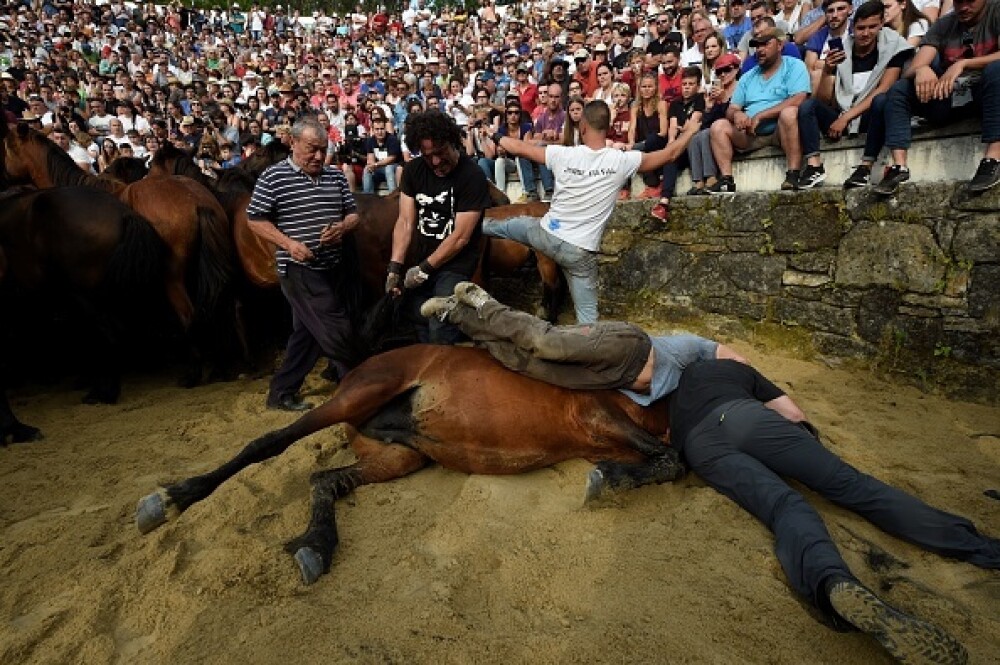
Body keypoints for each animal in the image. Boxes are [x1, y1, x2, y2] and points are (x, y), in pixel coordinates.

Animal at [135, 344, 680, 584]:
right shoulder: (597, 415)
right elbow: (673, 461)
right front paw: (607, 481)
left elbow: (658, 461)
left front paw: (614, 477)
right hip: (359, 395)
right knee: (268, 443)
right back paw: (170, 498)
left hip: (399, 455)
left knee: (324, 479)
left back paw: (315, 545)